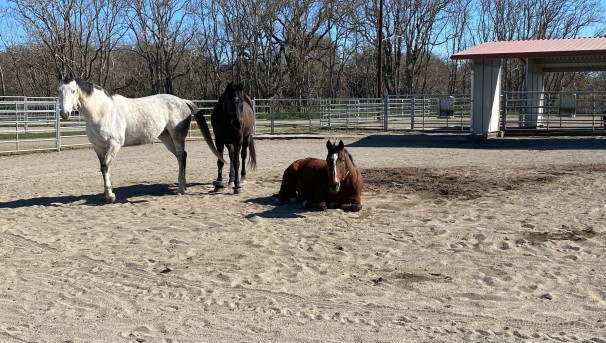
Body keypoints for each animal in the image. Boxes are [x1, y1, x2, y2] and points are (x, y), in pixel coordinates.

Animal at [58, 76, 224, 203]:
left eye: (73, 91)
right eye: (59, 91)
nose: (64, 113)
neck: (102, 112)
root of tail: (183, 101)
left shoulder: (114, 144)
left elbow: (105, 166)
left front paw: (110, 196)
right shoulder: (98, 147)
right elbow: (104, 168)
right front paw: (106, 195)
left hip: (177, 136)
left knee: (182, 156)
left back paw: (181, 189)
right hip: (166, 137)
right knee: (180, 157)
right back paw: (183, 184)